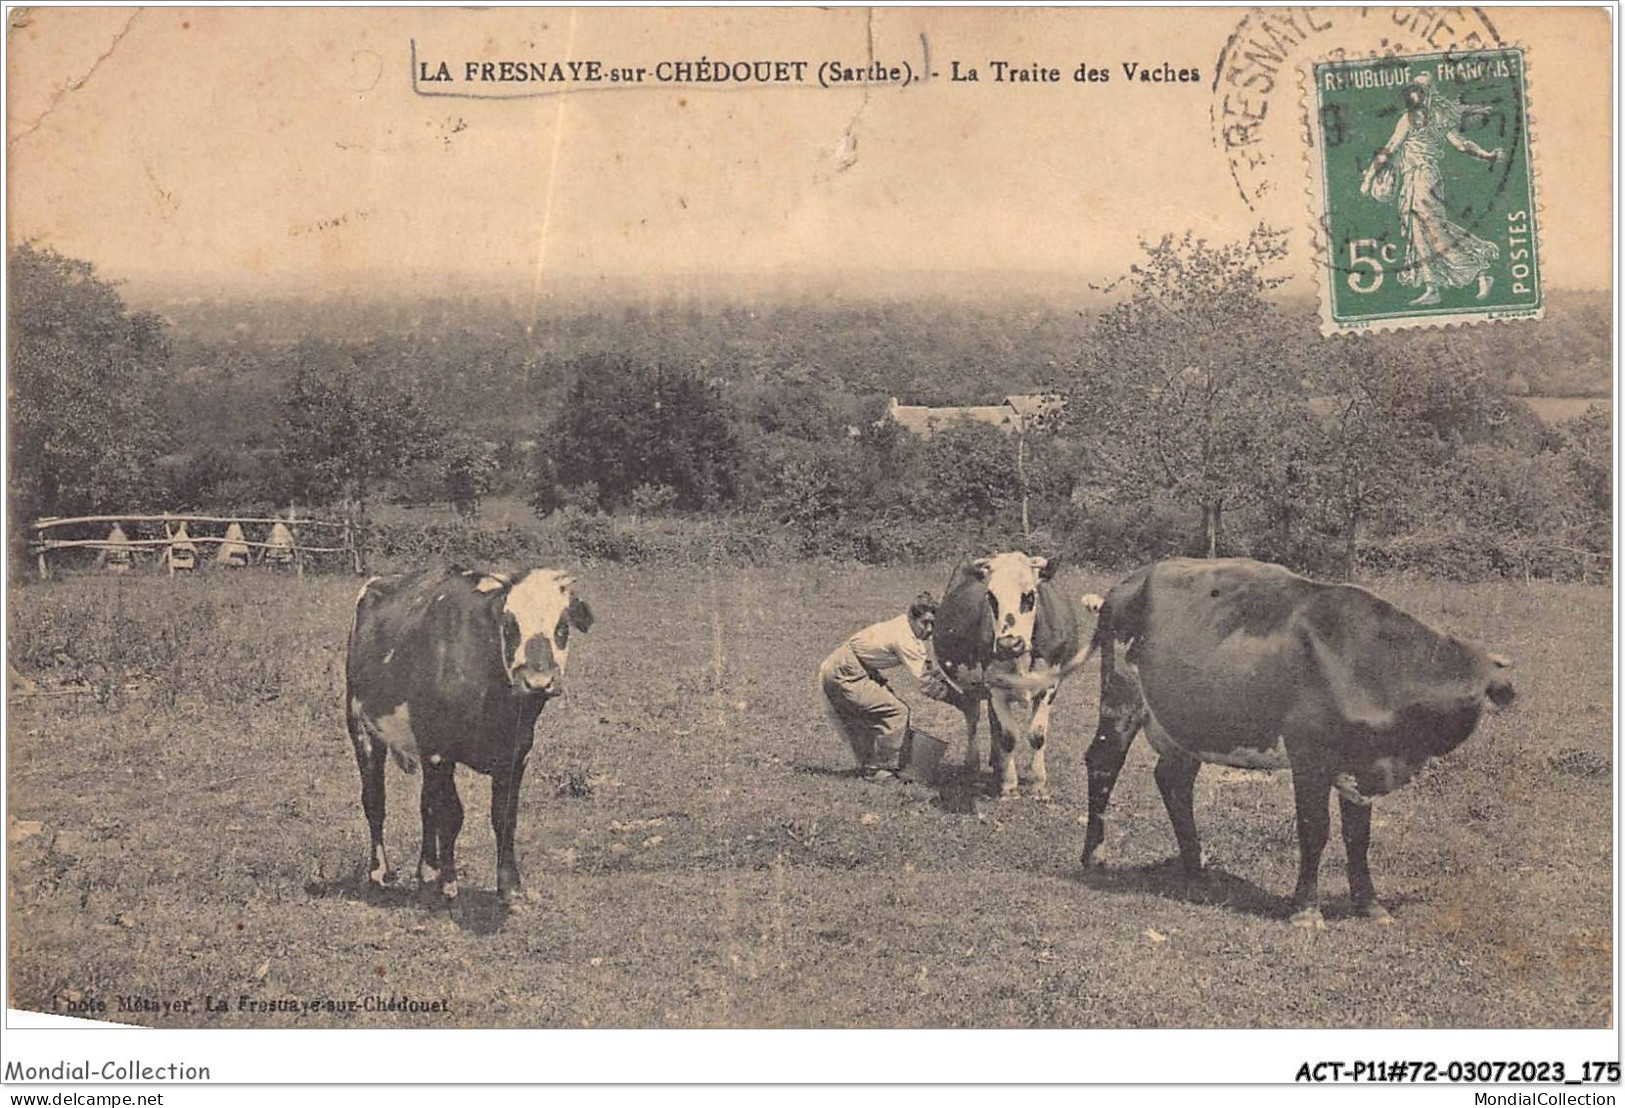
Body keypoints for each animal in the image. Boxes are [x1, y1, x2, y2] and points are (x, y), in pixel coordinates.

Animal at [344, 562, 598, 903]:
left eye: (562, 627)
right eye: (509, 626)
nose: (538, 681)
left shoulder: (516, 753)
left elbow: (503, 816)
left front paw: (509, 885)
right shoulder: (438, 751)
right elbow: (451, 815)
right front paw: (449, 884)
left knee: (426, 804)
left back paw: (427, 872)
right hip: (361, 726)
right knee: (375, 800)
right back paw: (379, 874)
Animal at [936, 549, 1098, 792]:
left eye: (1029, 595)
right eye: (991, 597)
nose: (1008, 644)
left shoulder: (1049, 685)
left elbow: (1037, 735)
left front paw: (1039, 783)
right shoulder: (994, 686)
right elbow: (1008, 736)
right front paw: (1009, 785)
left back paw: (996, 762)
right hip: (972, 686)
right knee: (973, 717)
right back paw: (974, 762)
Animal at [1079, 555, 1508, 929]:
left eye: (1474, 699)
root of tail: (1134, 578)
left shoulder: (1361, 765)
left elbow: (1358, 838)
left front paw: (1370, 906)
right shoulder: (1310, 757)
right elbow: (1314, 830)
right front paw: (1305, 911)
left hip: (1187, 723)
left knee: (1174, 780)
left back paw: (1197, 870)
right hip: (1121, 695)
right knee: (1103, 762)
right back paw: (1094, 857)